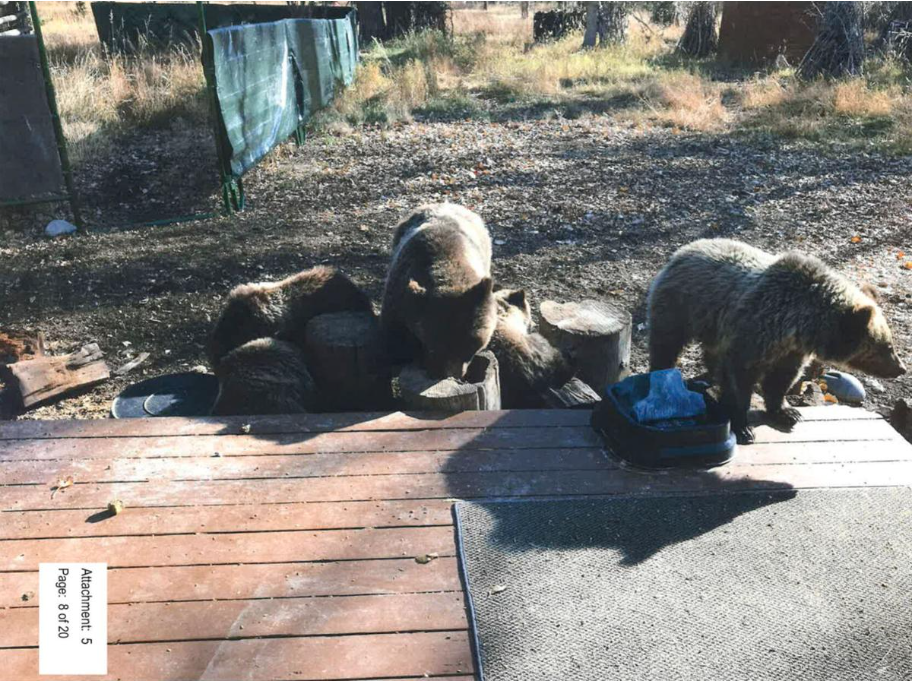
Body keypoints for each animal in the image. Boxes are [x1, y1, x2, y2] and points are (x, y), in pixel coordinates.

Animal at [648, 238, 904, 440]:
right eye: (886, 346)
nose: (900, 368)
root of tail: (682, 251)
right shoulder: (754, 333)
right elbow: (740, 379)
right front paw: (742, 426)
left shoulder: (791, 351)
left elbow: (781, 379)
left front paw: (787, 412)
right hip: (680, 306)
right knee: (665, 344)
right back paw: (663, 373)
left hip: (711, 322)